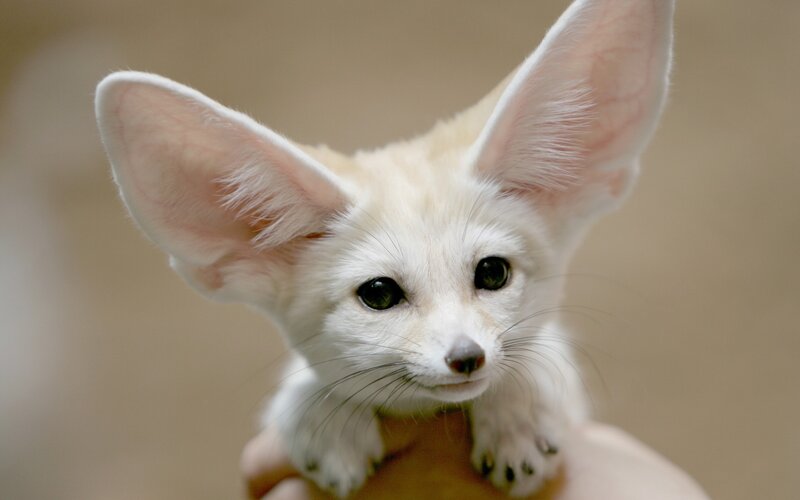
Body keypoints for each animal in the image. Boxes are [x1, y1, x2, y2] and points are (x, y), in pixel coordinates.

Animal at [95, 0, 673, 496]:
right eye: (378, 293)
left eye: (492, 273)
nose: (467, 357)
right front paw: (321, 415)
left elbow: (539, 354)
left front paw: (516, 413)